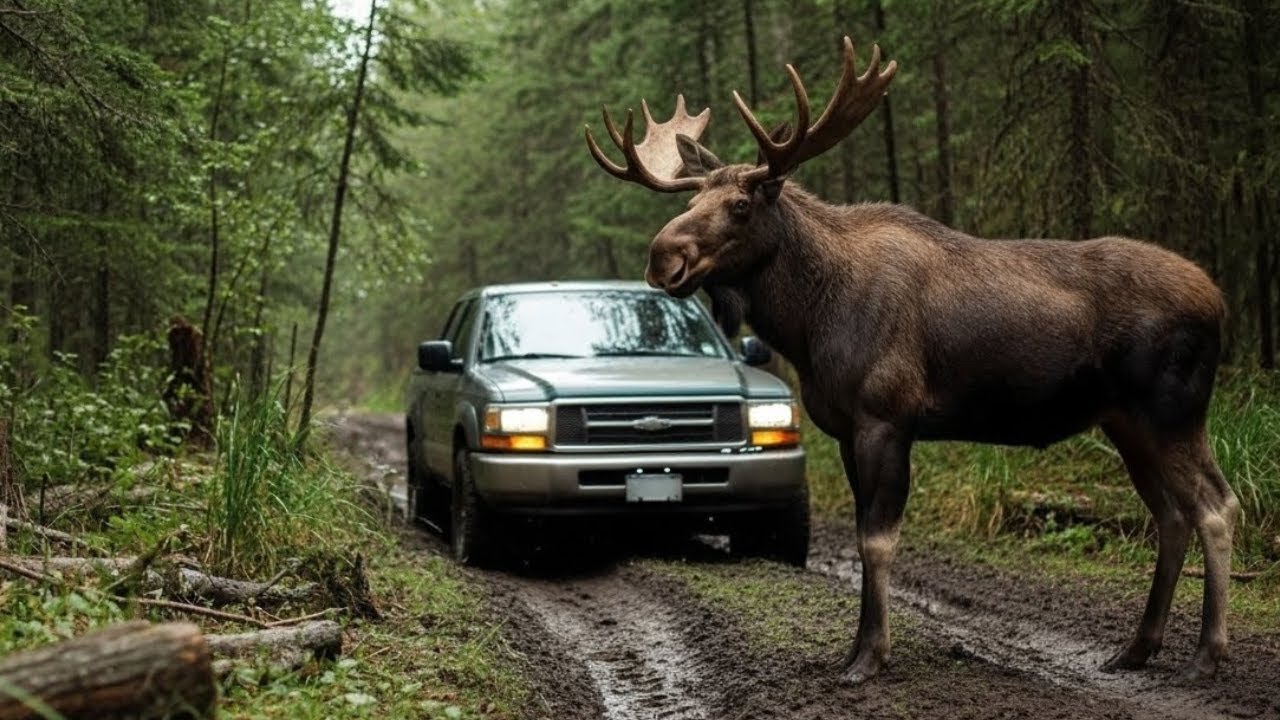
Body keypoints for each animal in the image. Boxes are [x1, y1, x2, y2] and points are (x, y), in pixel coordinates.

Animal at [584, 37, 1239, 685]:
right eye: (695, 196)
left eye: (742, 203)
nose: (662, 256)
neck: (810, 320)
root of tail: (1220, 301)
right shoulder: (844, 430)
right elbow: (858, 535)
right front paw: (851, 650)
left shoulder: (886, 418)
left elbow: (877, 541)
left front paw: (870, 658)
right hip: (1125, 421)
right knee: (1171, 515)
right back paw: (1138, 647)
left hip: (1172, 411)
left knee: (1216, 506)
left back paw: (1207, 653)